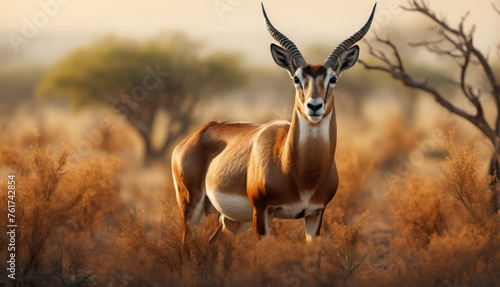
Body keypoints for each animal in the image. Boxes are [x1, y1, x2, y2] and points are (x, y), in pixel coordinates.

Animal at [172, 3, 376, 244]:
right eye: (296, 78)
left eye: (333, 78)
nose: (314, 106)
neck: (300, 173)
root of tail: (192, 137)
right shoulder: (262, 212)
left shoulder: (315, 214)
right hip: (191, 210)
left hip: (232, 221)